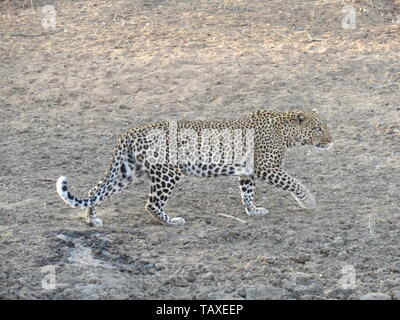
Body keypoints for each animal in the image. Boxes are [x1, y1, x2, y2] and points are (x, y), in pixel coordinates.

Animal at [56, 110, 332, 228]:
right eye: (319, 128)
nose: (331, 140)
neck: (286, 131)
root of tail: (130, 132)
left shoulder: (248, 171)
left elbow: (248, 193)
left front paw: (253, 211)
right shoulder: (267, 167)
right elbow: (294, 182)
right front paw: (309, 201)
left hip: (127, 171)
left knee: (95, 190)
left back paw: (92, 220)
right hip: (167, 172)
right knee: (151, 204)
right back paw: (172, 221)